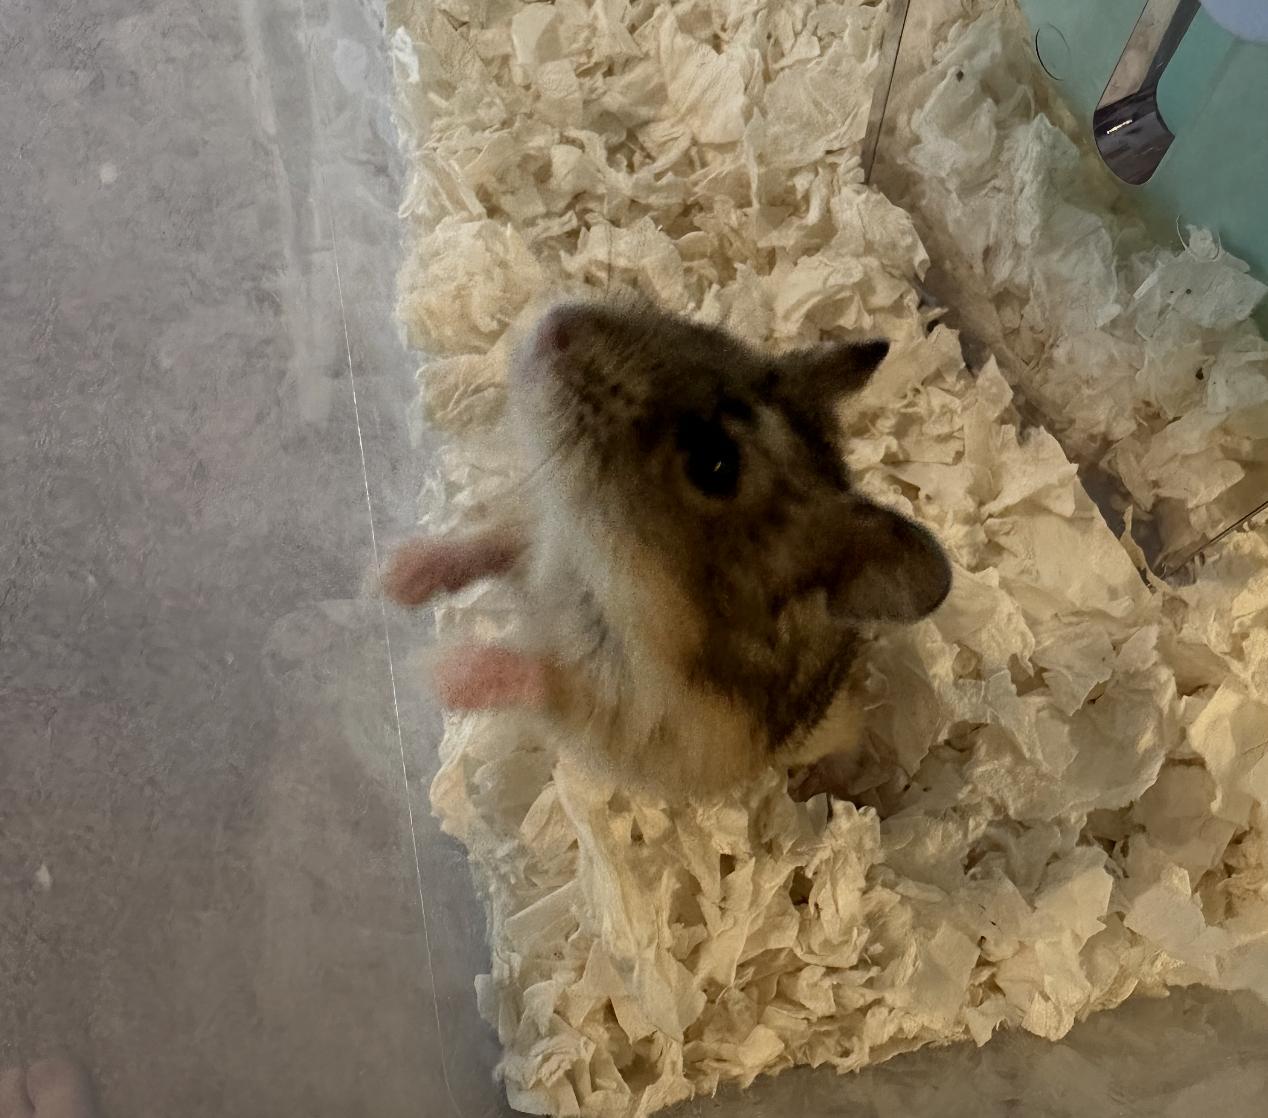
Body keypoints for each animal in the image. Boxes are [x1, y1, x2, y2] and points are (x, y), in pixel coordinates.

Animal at [384, 299, 951, 799]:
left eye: (714, 462)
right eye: (714, 335)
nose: (554, 324)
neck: (601, 566)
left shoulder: (620, 714)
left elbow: (541, 677)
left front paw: (440, 671)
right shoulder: (537, 536)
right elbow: (487, 545)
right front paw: (395, 577)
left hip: (834, 727)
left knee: (849, 742)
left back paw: (831, 788)